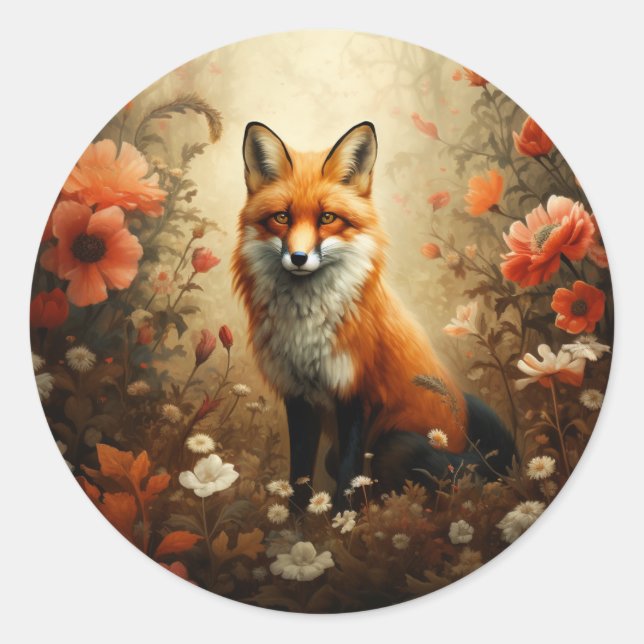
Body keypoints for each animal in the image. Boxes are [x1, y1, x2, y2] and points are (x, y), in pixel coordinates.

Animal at [232, 121, 515, 510]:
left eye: (327, 218)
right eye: (282, 218)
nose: (299, 258)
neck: (307, 328)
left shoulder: (357, 396)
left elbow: (350, 478)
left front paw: (341, 521)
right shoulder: (299, 396)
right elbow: (299, 477)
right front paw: (294, 523)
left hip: (393, 444)